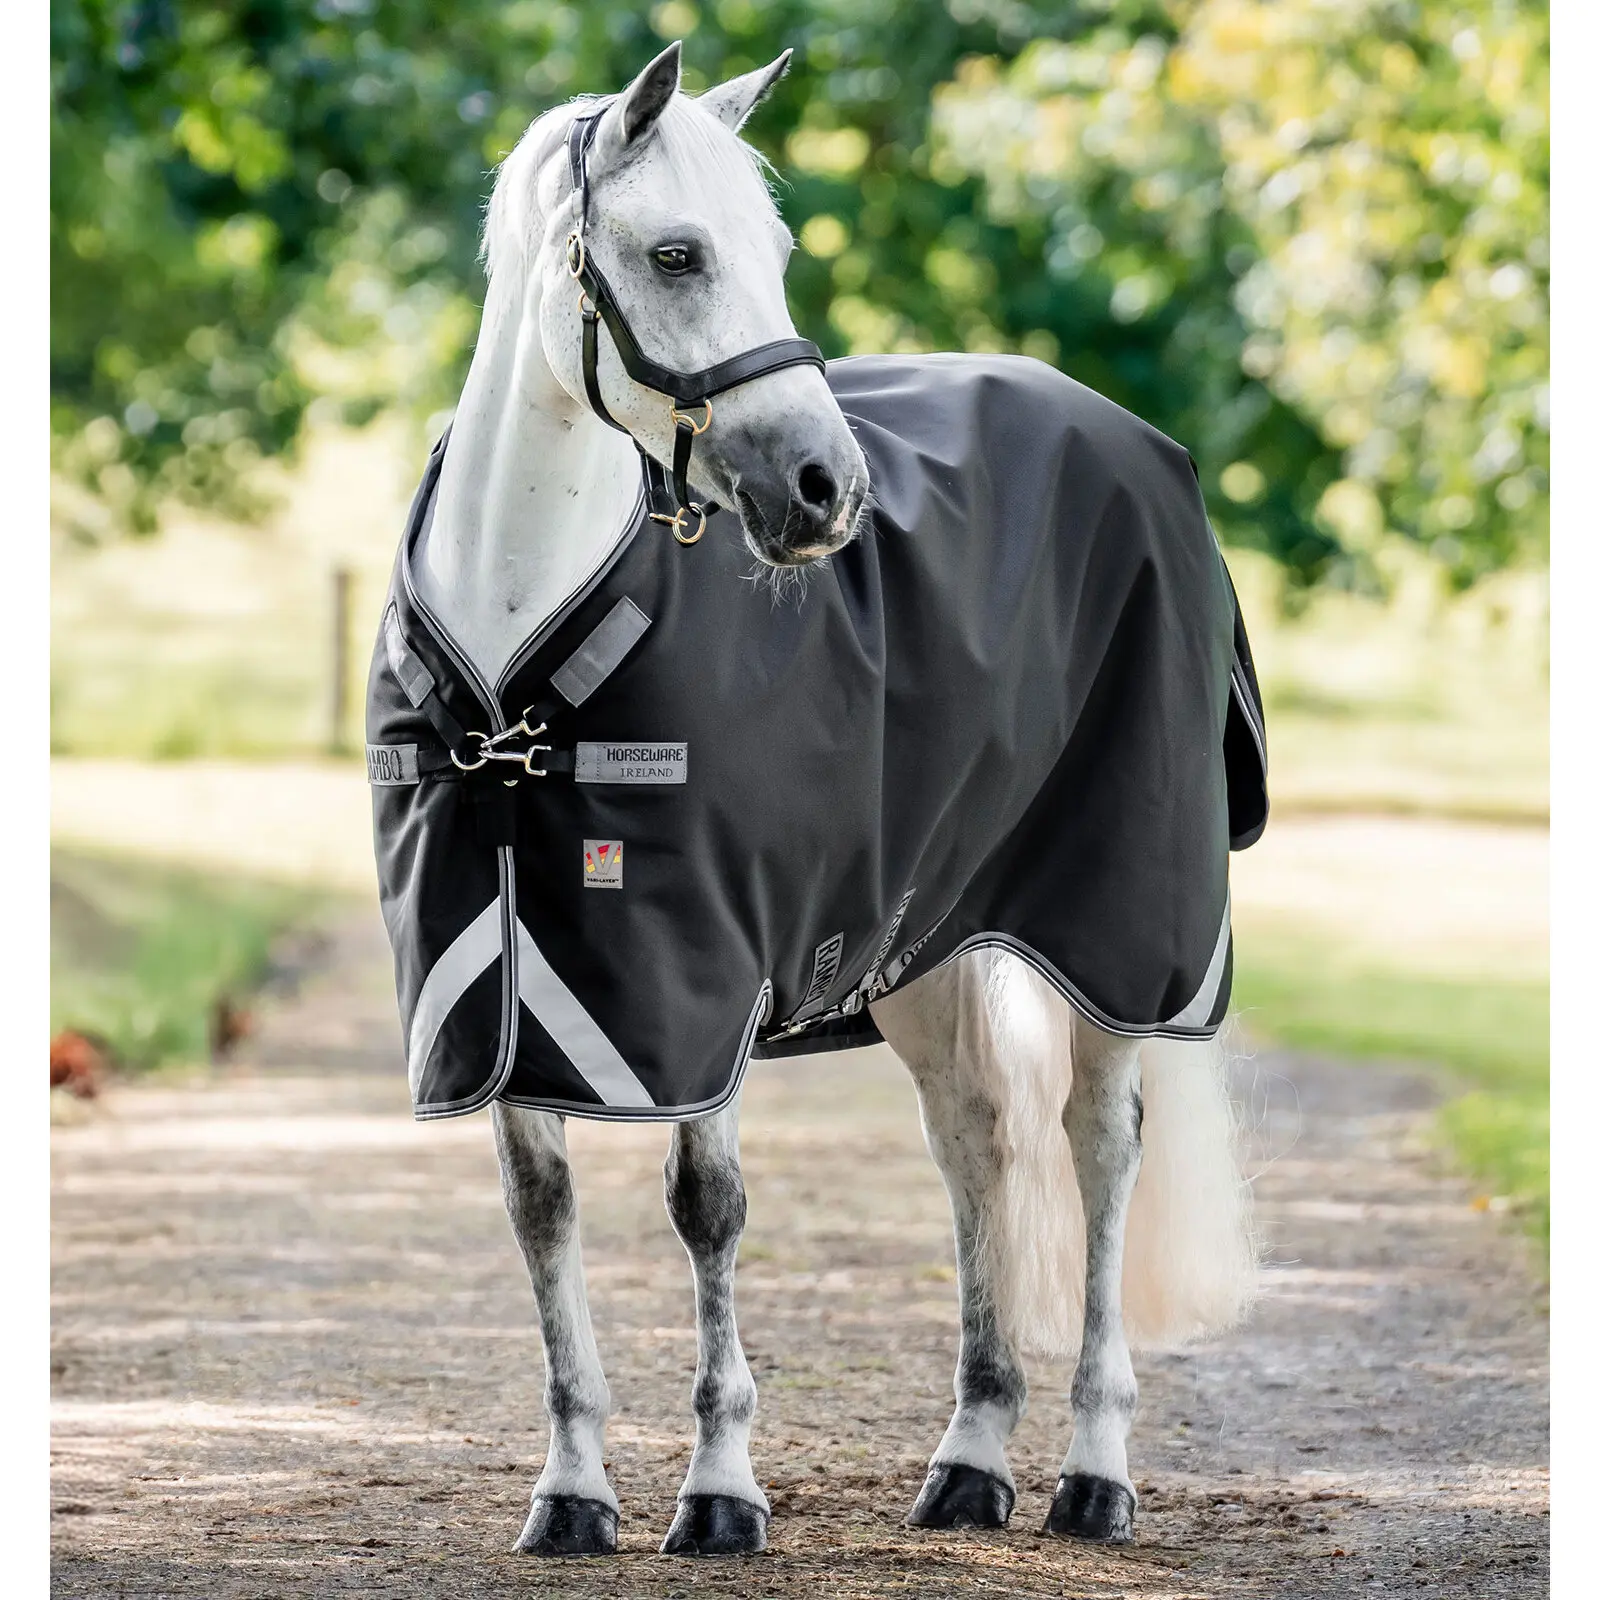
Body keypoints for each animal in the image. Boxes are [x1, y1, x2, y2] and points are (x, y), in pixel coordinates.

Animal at [386, 41, 1259, 1557]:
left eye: (777, 251)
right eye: (676, 253)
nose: (825, 491)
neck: (517, 668)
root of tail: (1143, 448)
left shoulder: (701, 986)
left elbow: (707, 1207)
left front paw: (720, 1490)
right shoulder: (505, 1004)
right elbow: (541, 1210)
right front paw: (573, 1491)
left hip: (1114, 938)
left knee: (1096, 1150)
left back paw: (1094, 1472)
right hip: (929, 947)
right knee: (976, 1144)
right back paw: (970, 1461)